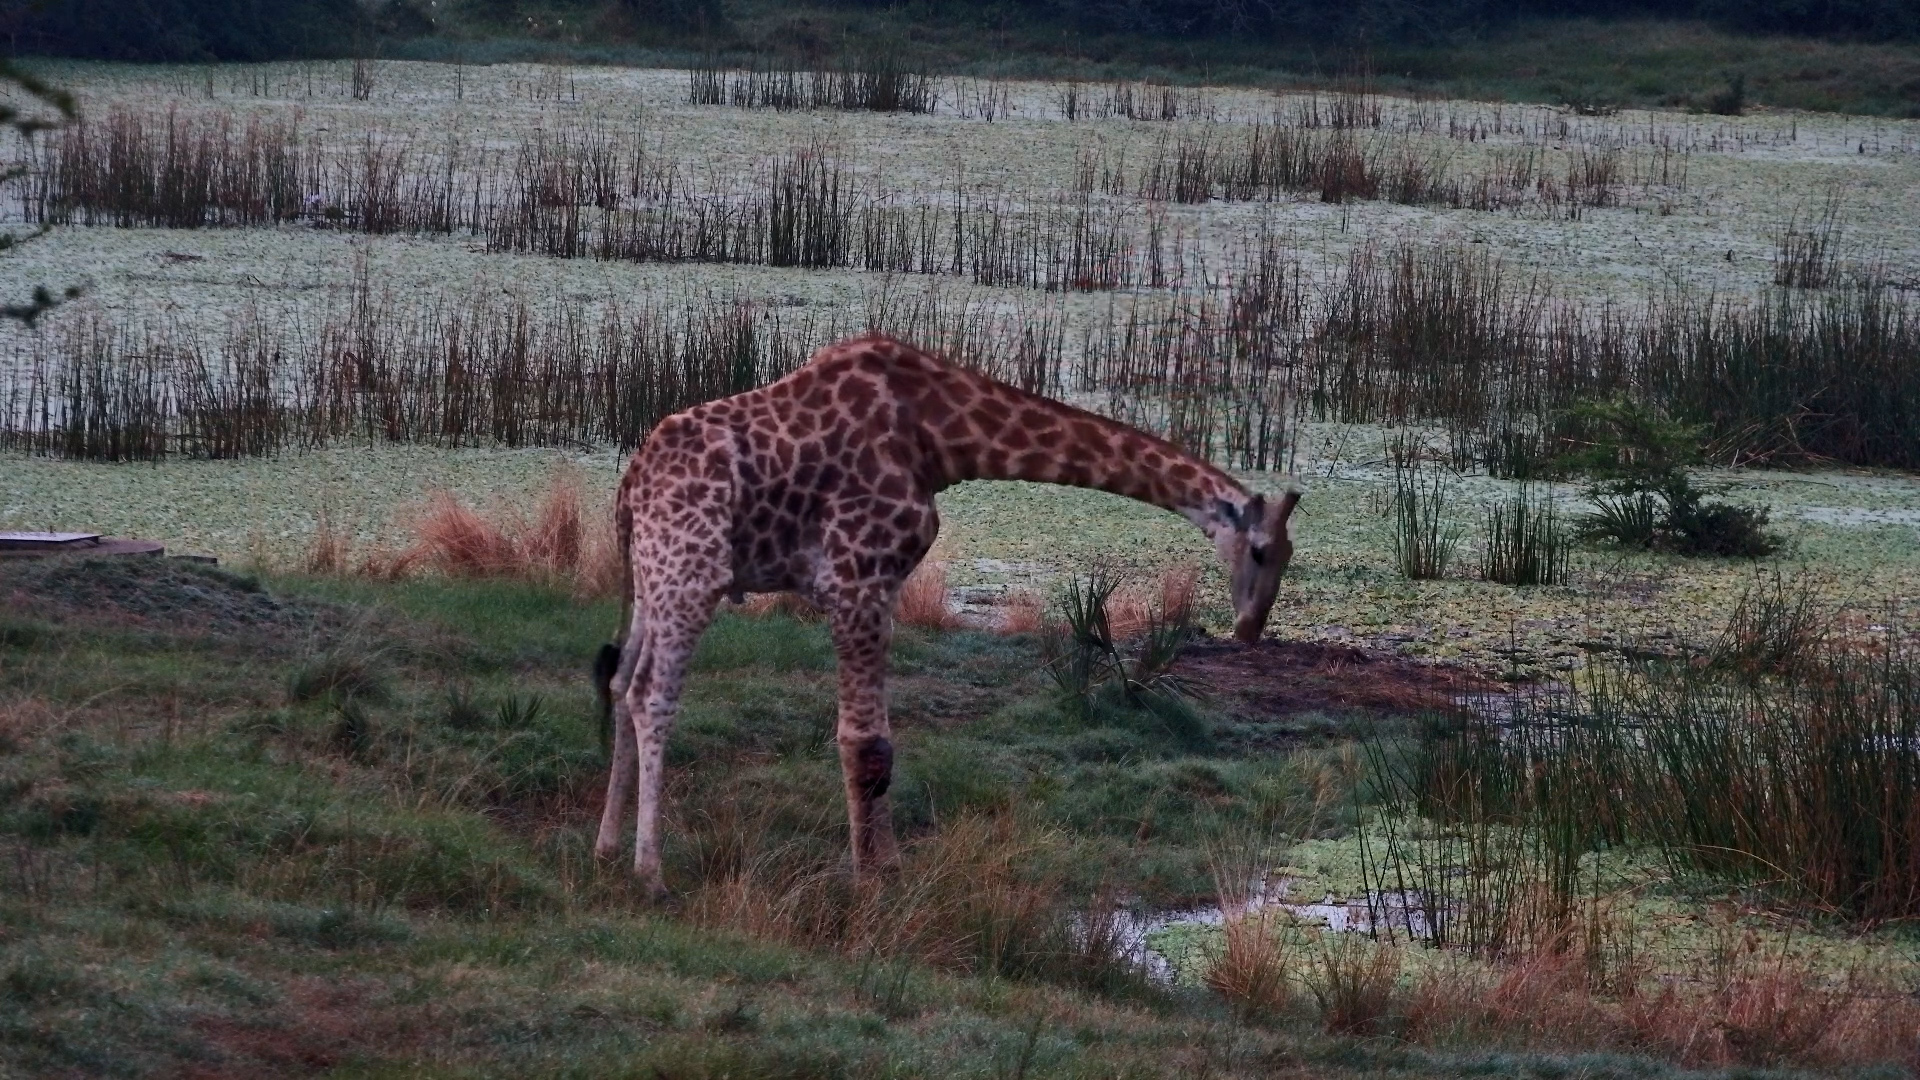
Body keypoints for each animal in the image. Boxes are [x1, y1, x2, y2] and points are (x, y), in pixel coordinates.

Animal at [594, 332, 1302, 894]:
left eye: (1288, 556)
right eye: (1262, 550)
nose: (1249, 628)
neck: (939, 437)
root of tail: (629, 487)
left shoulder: (880, 582)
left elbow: (881, 743)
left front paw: (888, 866)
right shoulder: (856, 574)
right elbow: (865, 742)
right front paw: (871, 881)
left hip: (653, 575)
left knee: (621, 681)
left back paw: (606, 848)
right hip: (693, 570)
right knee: (653, 694)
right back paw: (651, 873)